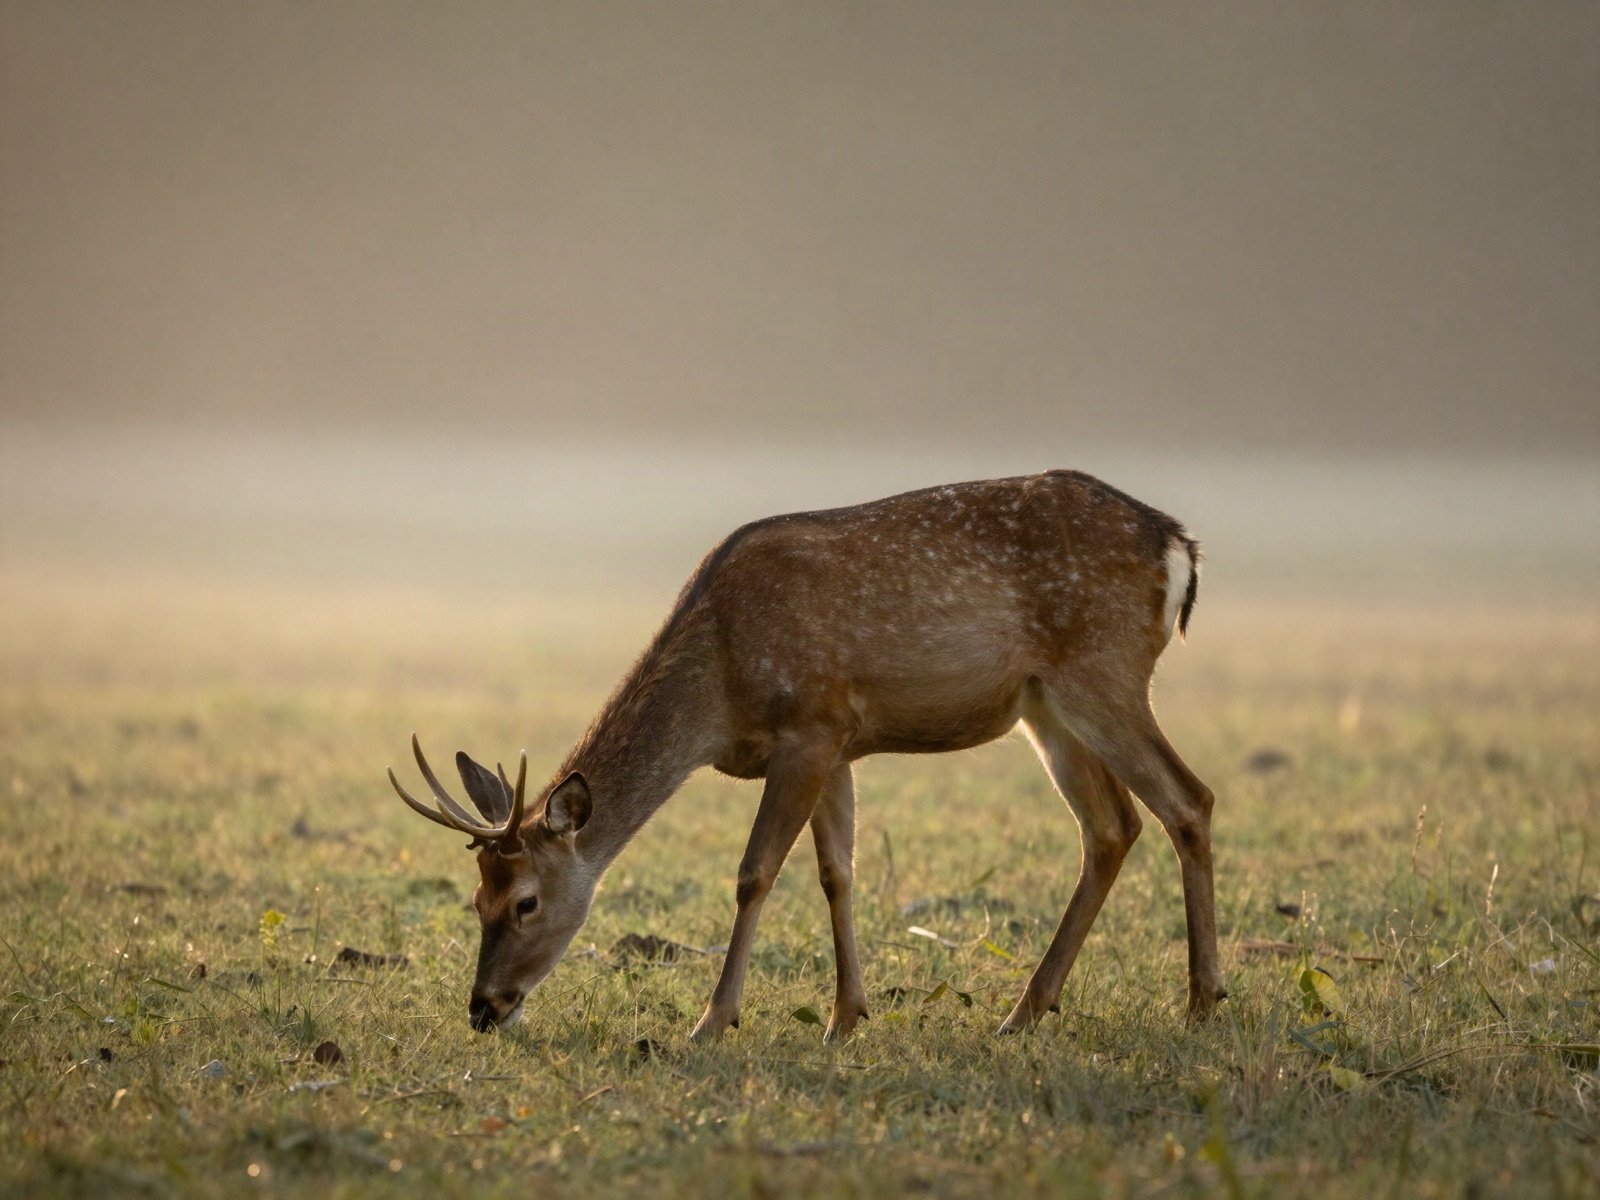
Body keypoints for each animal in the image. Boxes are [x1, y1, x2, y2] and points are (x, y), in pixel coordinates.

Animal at [389, 469, 1224, 1040]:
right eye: (475, 901)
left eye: (525, 902)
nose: (483, 1008)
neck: (720, 691)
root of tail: (1180, 548)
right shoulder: (838, 741)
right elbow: (836, 873)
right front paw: (846, 1015)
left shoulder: (809, 727)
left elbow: (756, 872)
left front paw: (712, 1021)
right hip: (1045, 706)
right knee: (1112, 826)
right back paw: (1026, 1008)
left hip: (1103, 670)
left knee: (1188, 798)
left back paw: (1199, 1000)